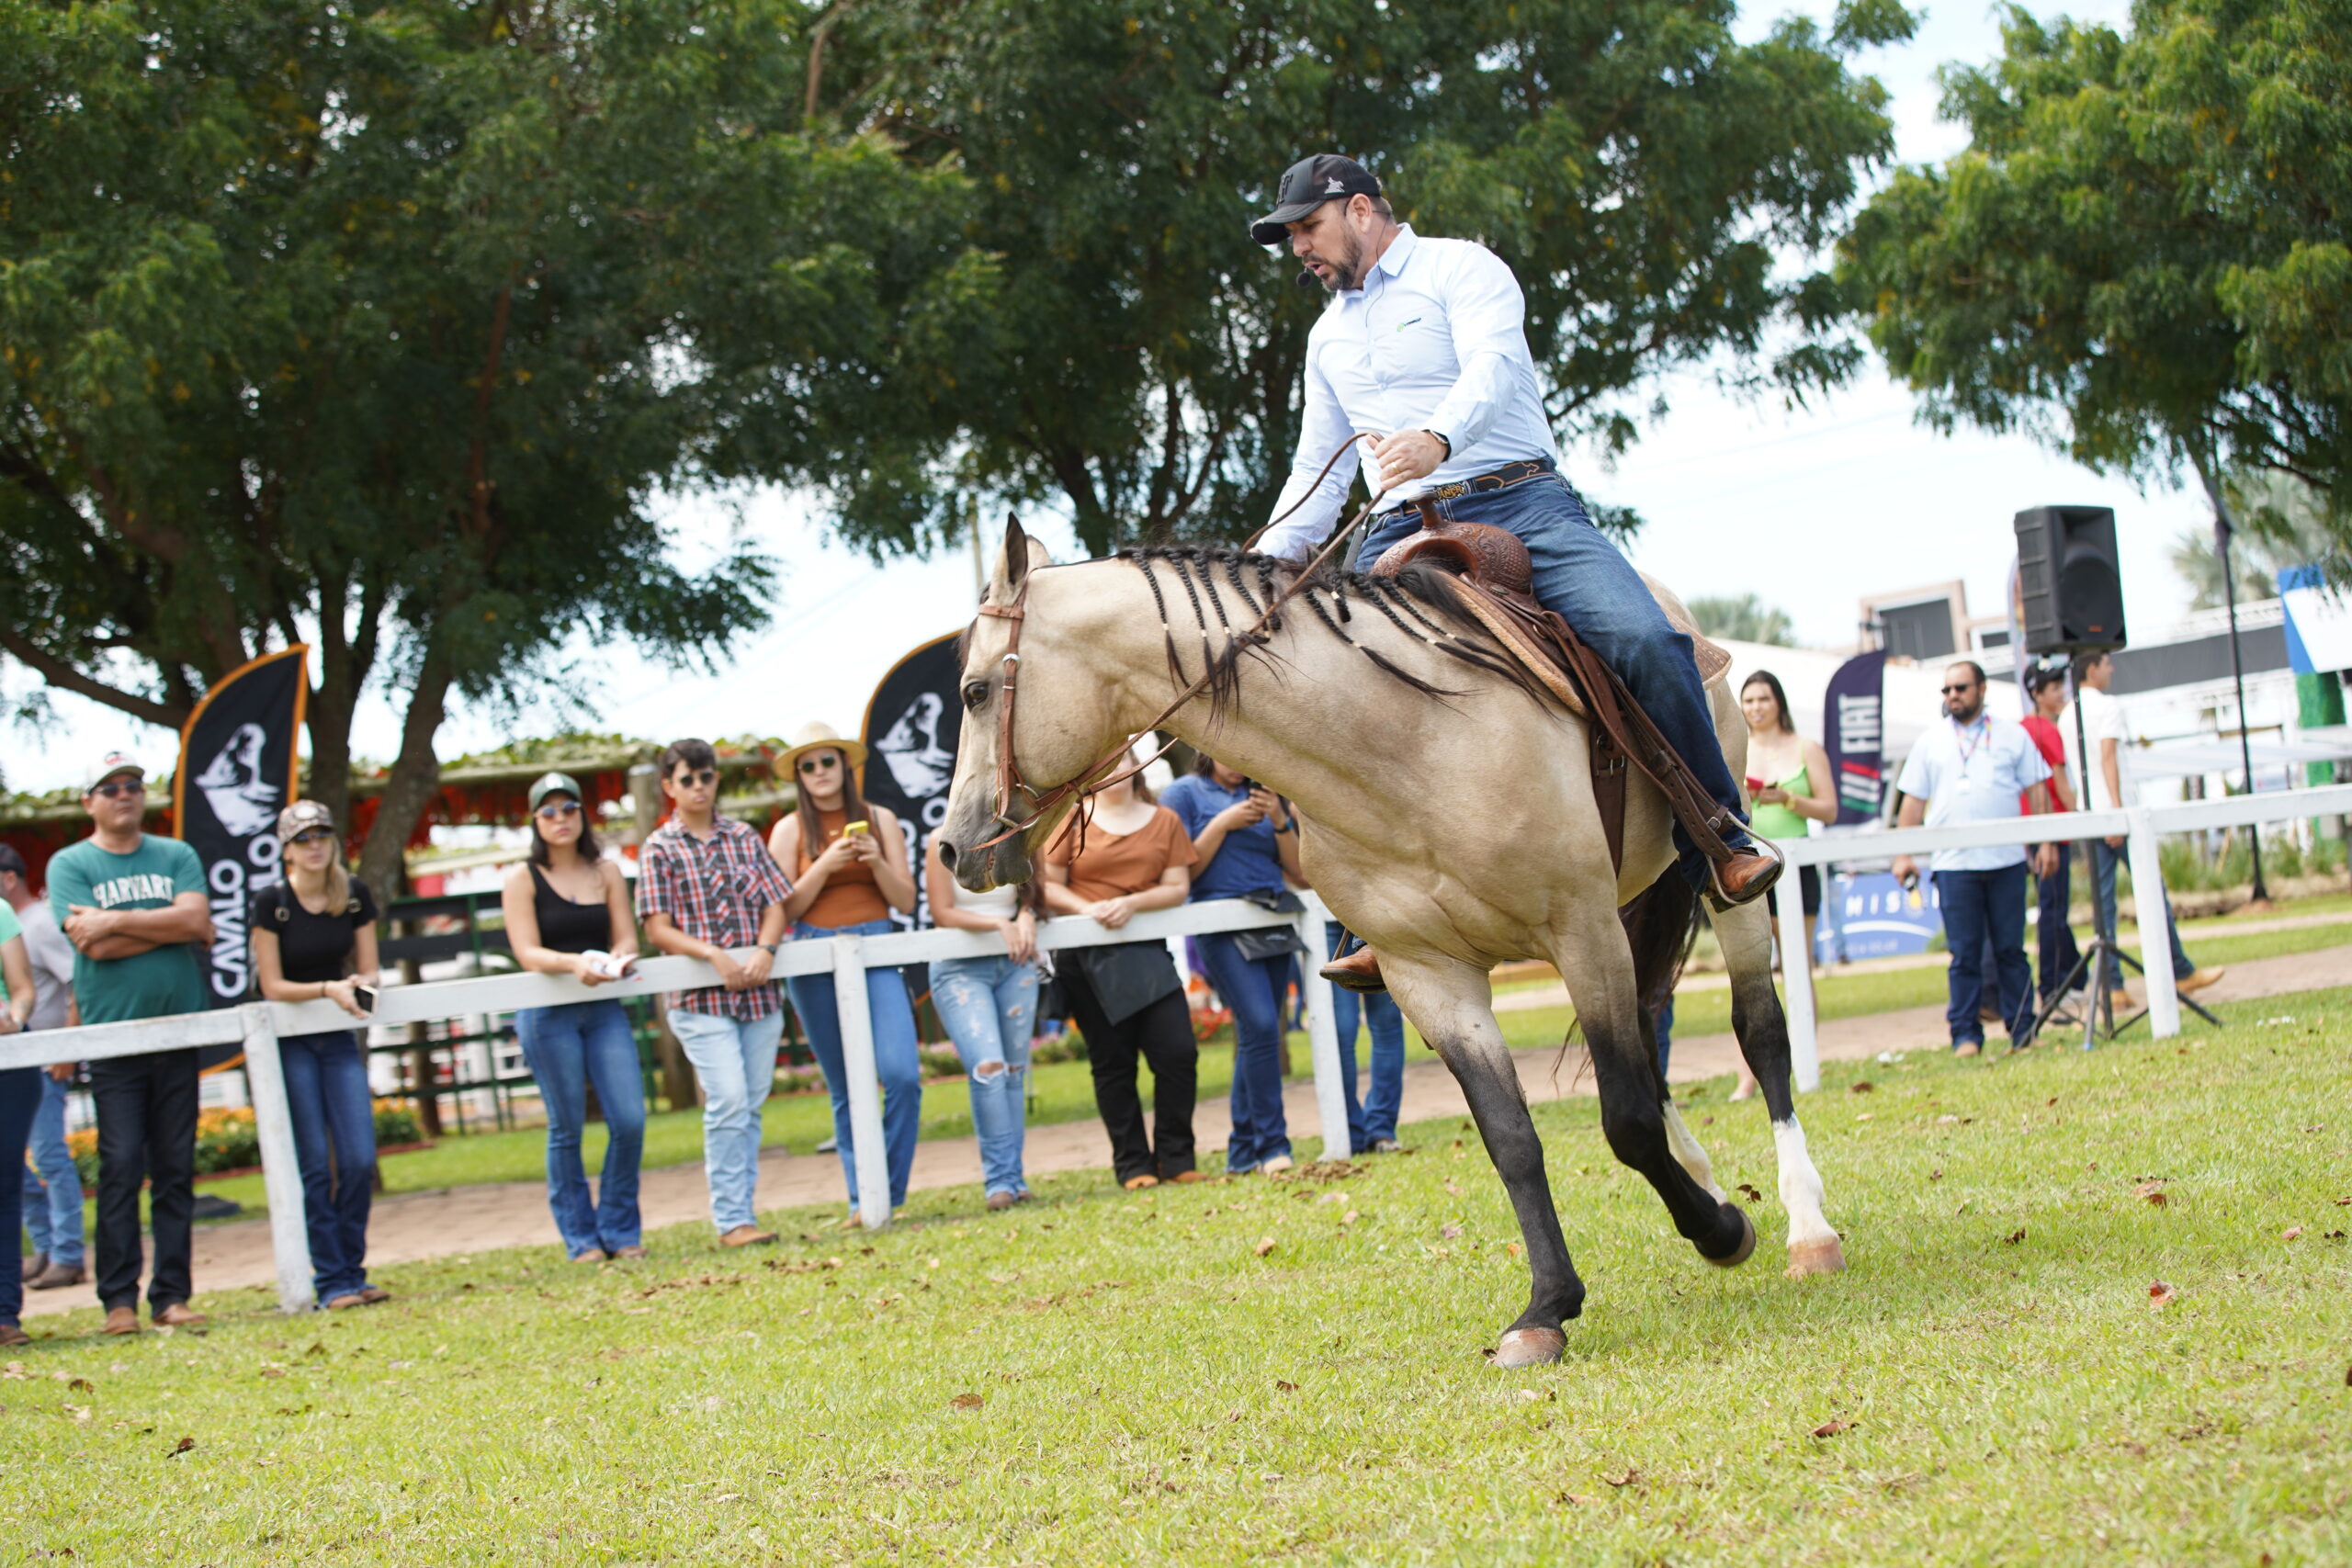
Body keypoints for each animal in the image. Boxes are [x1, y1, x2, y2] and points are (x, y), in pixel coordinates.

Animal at [931, 524, 1834, 1363]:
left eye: (973, 690)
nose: (949, 847)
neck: (1407, 745)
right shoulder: (1425, 974)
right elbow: (1513, 1138)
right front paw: (1546, 1308)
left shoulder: (1579, 930)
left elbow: (1628, 1121)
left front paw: (1721, 1230)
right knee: (1649, 1028)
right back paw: (1709, 1176)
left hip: (1717, 882)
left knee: (1758, 1030)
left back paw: (1806, 1225)